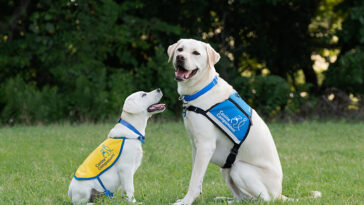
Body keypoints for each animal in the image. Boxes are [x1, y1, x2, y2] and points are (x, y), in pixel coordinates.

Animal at [166, 38, 320, 203]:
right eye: (180, 49)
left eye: (196, 53)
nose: (180, 58)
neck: (202, 89)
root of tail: (279, 194)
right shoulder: (196, 147)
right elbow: (196, 178)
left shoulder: (205, 146)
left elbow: (194, 180)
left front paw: (186, 201)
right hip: (226, 169)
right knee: (243, 198)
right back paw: (225, 200)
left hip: (239, 168)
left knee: (264, 199)